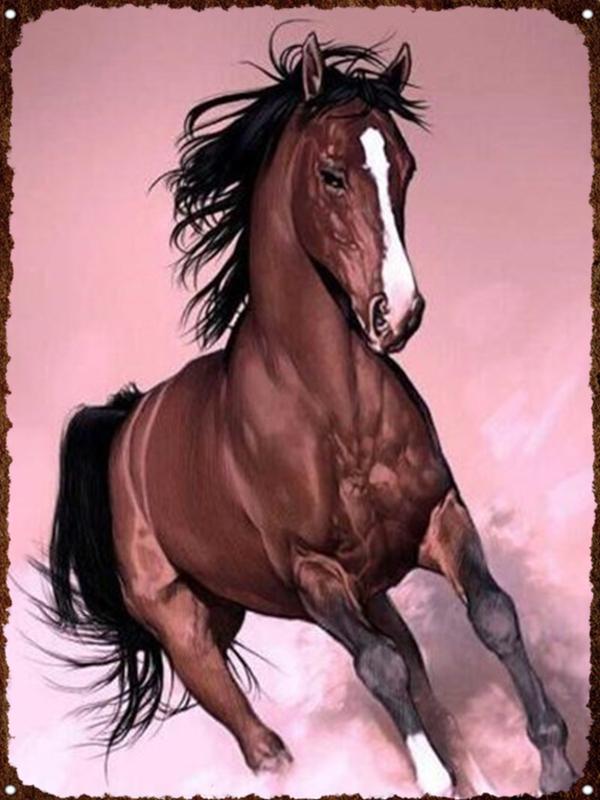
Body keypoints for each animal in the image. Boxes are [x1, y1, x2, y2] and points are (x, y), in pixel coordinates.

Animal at [39, 32, 576, 796]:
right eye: (331, 175)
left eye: (405, 168)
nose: (398, 313)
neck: (334, 410)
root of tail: (125, 424)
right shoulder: (313, 575)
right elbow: (379, 669)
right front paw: (432, 777)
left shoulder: (440, 518)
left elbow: (492, 616)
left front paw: (553, 758)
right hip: (189, 631)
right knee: (265, 741)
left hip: (351, 594)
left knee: (418, 674)